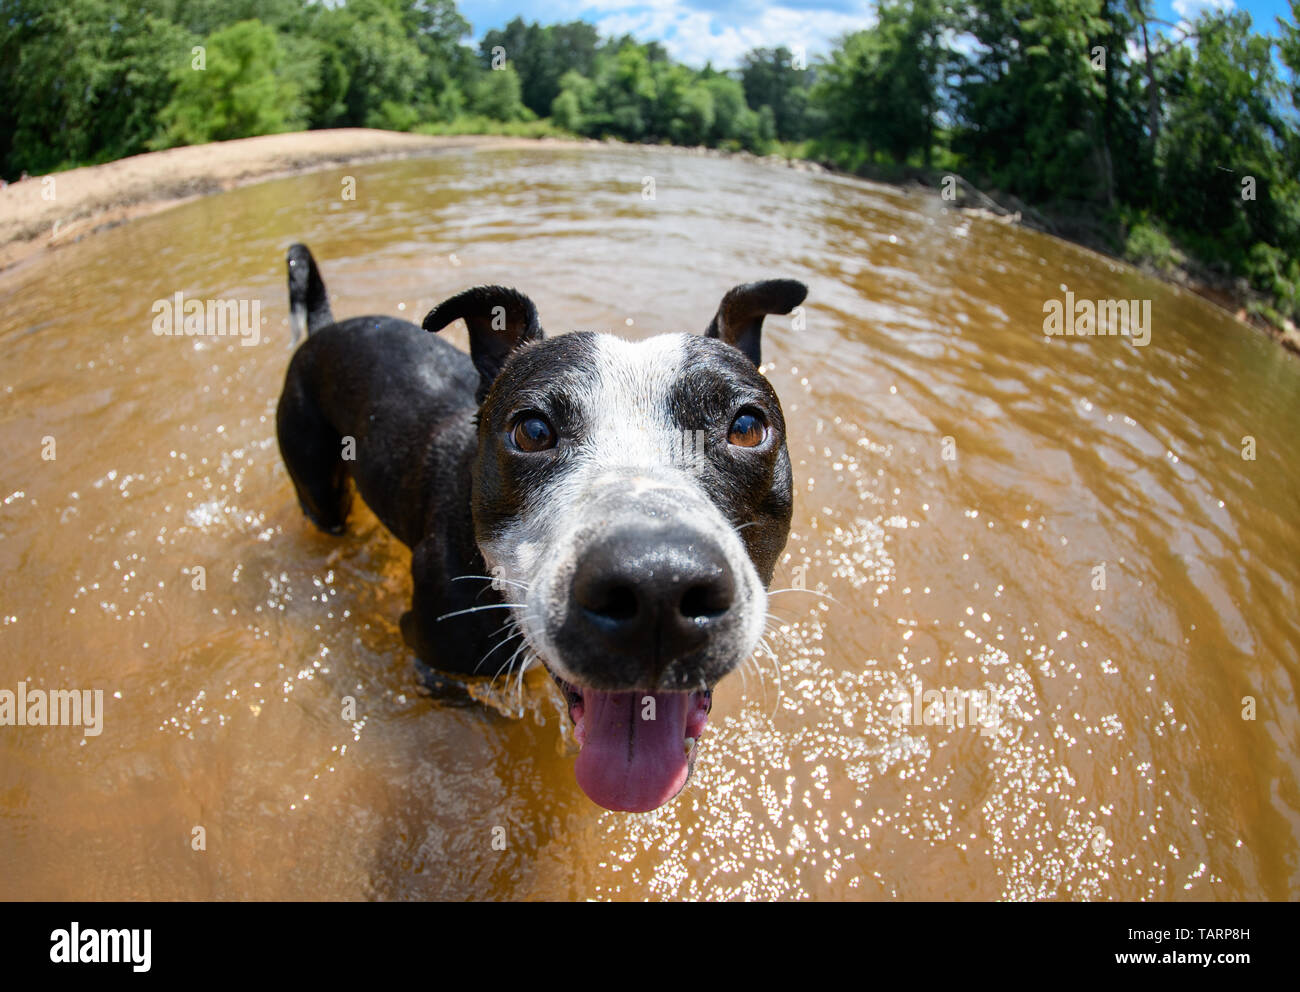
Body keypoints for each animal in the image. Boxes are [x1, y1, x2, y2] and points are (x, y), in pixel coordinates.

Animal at [278, 244, 800, 811]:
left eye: (746, 427)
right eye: (531, 431)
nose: (656, 584)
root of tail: (323, 330)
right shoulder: (434, 664)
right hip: (319, 489)